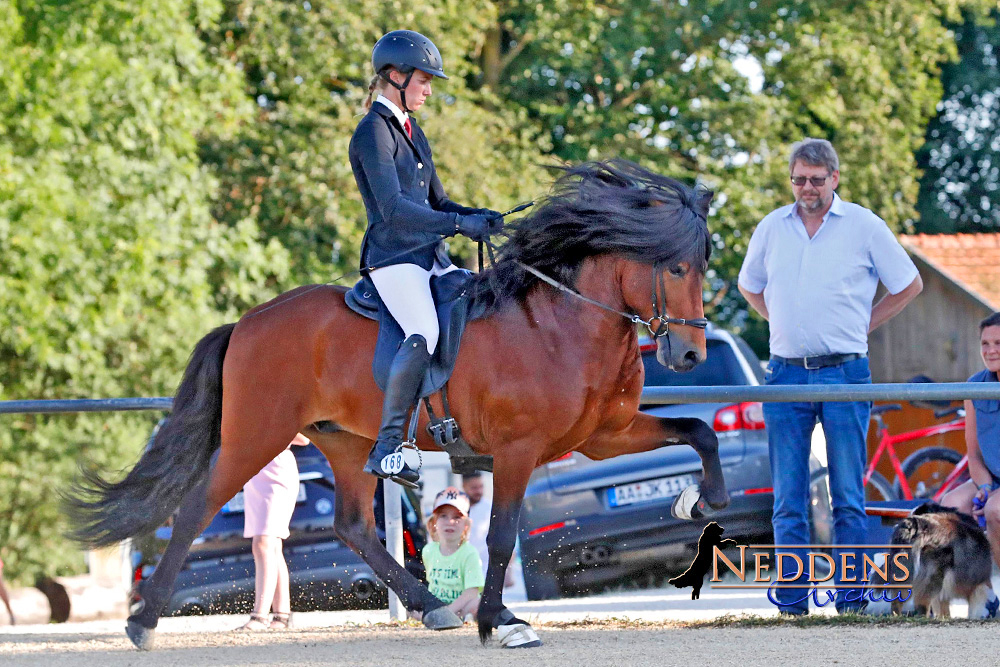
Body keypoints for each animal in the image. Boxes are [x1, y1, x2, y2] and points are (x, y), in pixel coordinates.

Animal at [68, 159, 728, 648]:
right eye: (675, 268)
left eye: (702, 266)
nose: (689, 355)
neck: (560, 323)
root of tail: (248, 322)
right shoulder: (518, 450)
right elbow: (501, 535)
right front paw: (500, 622)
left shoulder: (601, 436)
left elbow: (699, 431)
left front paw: (701, 502)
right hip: (258, 434)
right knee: (198, 507)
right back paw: (142, 622)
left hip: (346, 440)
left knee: (352, 525)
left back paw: (430, 606)